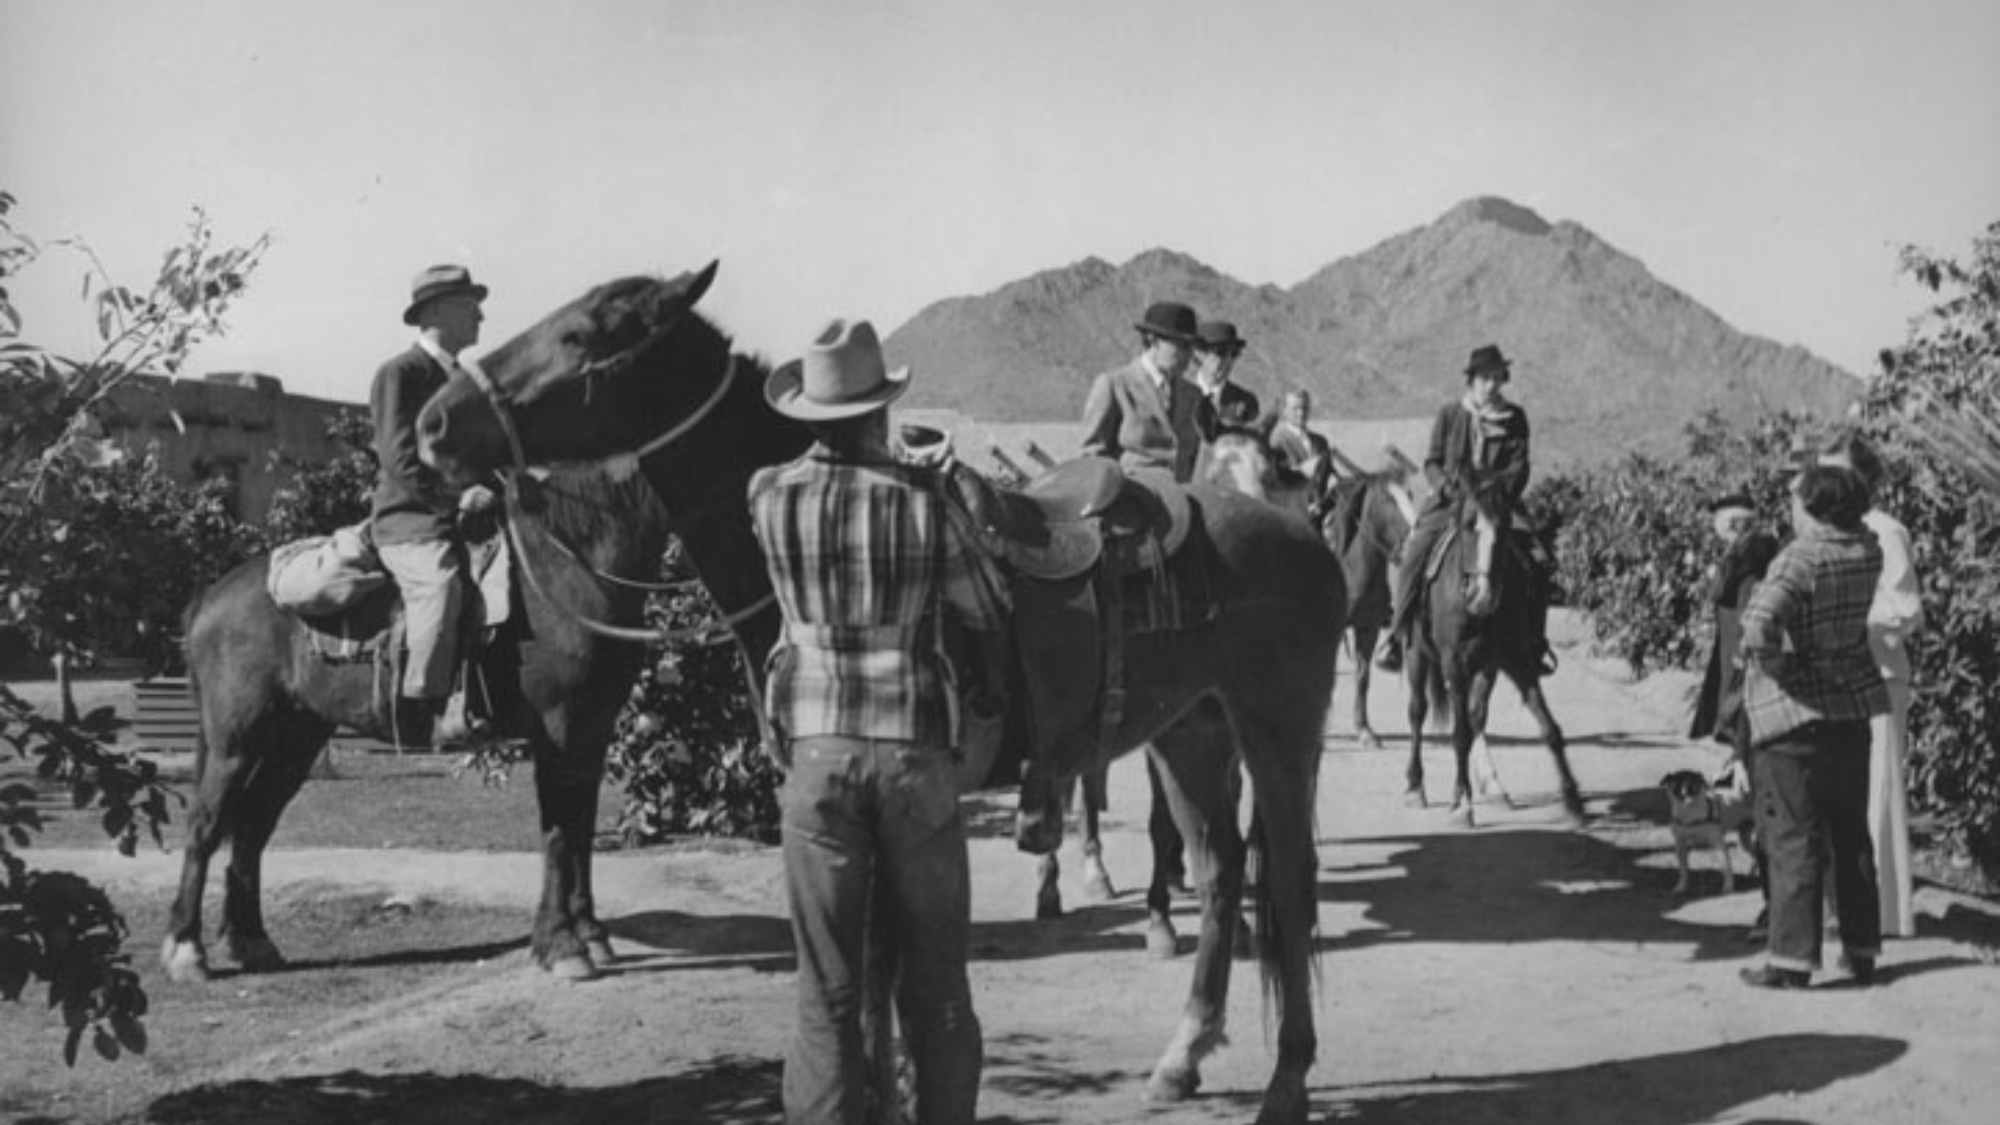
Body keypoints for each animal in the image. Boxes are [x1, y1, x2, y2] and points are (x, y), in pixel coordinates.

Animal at [158, 264, 772, 980]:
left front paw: (590, 934)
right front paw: (561, 946)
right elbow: (558, 831)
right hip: (238, 737)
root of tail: (212, 596)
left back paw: (250, 941)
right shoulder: (558, 728)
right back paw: (187, 950)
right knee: (207, 825)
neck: (571, 560)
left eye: (579, 333)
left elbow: (580, 828)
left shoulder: (590, 730)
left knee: (253, 829)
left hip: (296, 737)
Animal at [418, 260, 1344, 1112]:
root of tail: (1299, 536)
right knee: (1222, 872)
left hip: (1279, 733)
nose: (433, 421)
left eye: (583, 335)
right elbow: (867, 978)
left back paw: (1288, 1081)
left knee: (1290, 884)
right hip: (1192, 733)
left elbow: (887, 977)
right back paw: (1181, 1059)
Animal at [1400, 490, 1584, 824]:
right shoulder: (1455, 665)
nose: (1482, 596)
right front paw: (1462, 802)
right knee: (1417, 711)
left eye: (1505, 528)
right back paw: (1415, 786)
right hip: (1416, 654)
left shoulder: (1510, 661)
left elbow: (1548, 727)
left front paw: (1573, 798)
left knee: (1473, 716)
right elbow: (1460, 734)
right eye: (1468, 526)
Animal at [1664, 760, 1760, 892]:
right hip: (1744, 839)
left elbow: (1726, 866)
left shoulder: (1718, 843)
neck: (1689, 815)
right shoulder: (1680, 845)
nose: (1687, 797)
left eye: (1694, 787)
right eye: (1677, 788)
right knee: (1755, 854)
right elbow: (1683, 870)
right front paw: (1681, 886)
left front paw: (1728, 886)